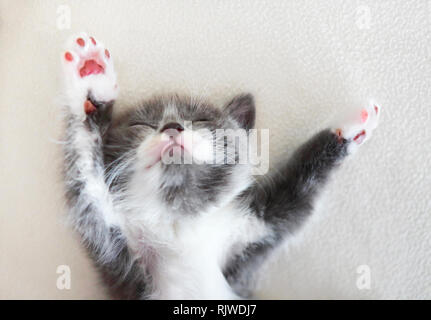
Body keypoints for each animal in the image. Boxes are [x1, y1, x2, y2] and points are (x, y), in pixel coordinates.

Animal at [61, 33, 382, 298]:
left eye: (201, 119)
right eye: (142, 124)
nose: (173, 127)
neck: (180, 221)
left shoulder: (248, 245)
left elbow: (296, 194)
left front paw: (349, 126)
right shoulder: (118, 257)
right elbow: (85, 179)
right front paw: (90, 78)